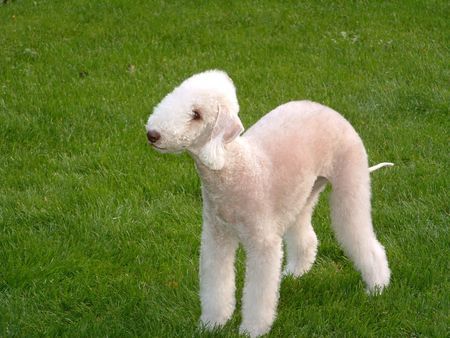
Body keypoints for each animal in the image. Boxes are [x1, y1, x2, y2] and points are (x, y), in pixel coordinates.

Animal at [146, 70, 392, 336]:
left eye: (196, 115)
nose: (152, 135)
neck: (233, 168)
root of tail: (330, 111)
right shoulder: (216, 237)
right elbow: (216, 284)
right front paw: (212, 323)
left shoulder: (263, 244)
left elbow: (259, 293)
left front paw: (252, 329)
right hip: (303, 193)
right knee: (305, 234)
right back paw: (296, 272)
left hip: (350, 181)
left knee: (361, 235)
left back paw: (378, 286)